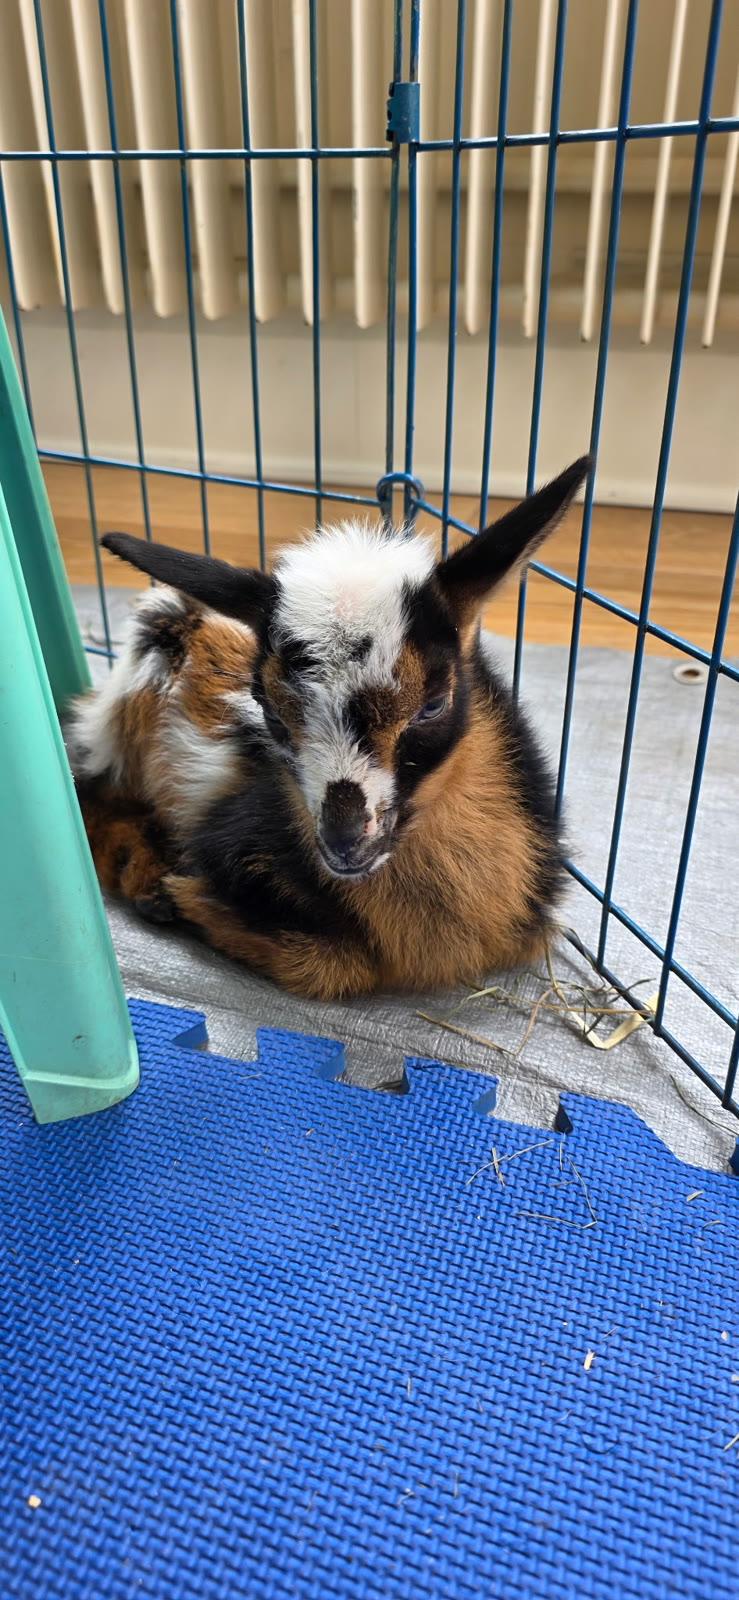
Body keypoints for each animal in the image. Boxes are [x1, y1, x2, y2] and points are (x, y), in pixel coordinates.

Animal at [67, 456, 590, 999]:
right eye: (269, 710)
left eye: (433, 705)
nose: (343, 841)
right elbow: (337, 963)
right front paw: (182, 894)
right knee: (89, 791)